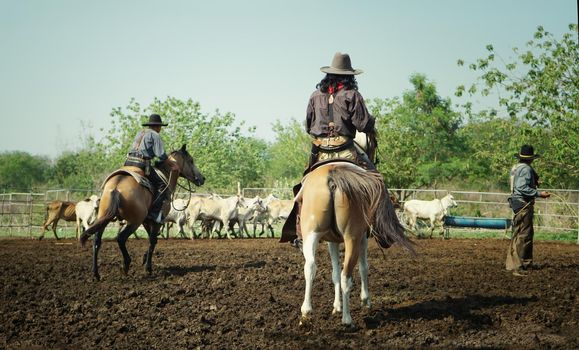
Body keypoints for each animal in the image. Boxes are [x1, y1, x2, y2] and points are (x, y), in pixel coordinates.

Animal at [78, 145, 206, 282]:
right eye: (191, 160)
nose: (202, 179)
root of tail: (116, 187)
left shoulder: (147, 220)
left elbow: (152, 239)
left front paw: (144, 259)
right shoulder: (156, 221)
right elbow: (153, 240)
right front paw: (148, 268)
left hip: (104, 217)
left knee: (96, 240)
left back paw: (96, 274)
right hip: (134, 221)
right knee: (121, 238)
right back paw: (126, 265)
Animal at [296, 134, 414, 326]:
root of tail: (332, 176)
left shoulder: (331, 241)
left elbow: (334, 273)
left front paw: (336, 307)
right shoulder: (363, 237)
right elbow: (363, 267)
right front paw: (365, 301)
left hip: (311, 234)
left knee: (311, 267)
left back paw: (306, 312)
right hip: (352, 238)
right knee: (347, 275)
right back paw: (347, 319)